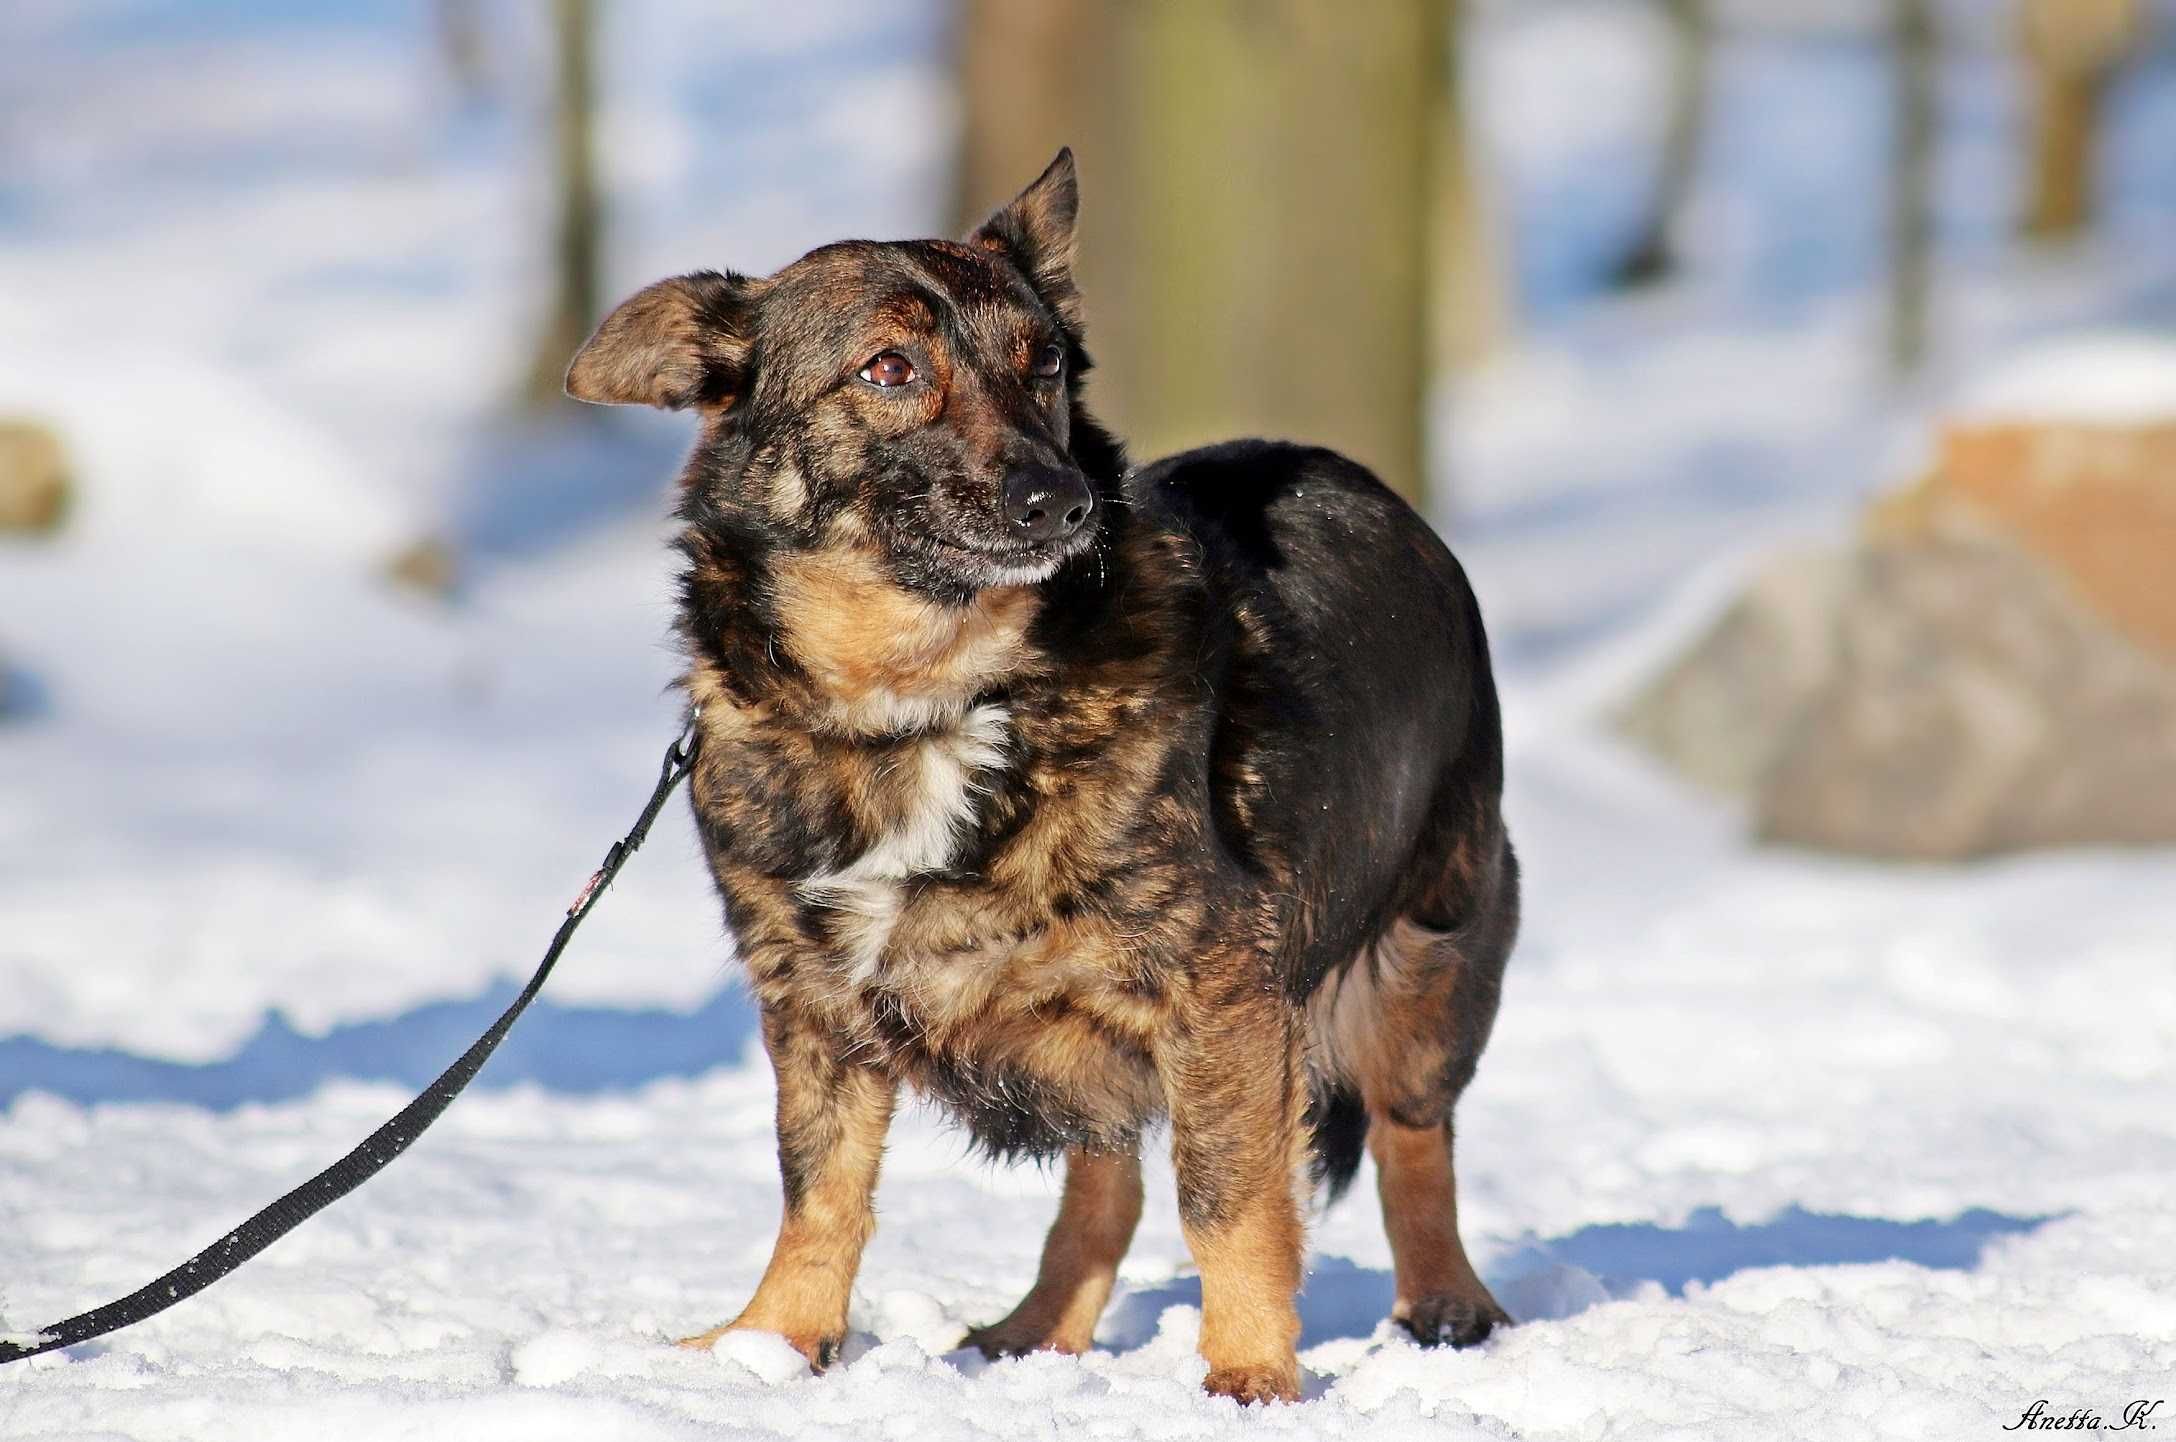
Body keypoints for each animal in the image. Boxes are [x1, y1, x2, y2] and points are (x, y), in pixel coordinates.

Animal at [561, 148, 1514, 1409]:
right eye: (889, 367)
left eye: (1045, 361)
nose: (1061, 500)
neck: (924, 701)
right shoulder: (812, 1006)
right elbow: (819, 1192)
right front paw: (772, 1342)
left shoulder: (1221, 992)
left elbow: (1228, 1198)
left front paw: (1250, 1370)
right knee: (1104, 1174)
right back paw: (1037, 1329)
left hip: (1427, 950)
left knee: (1414, 1131)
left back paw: (1446, 1302)